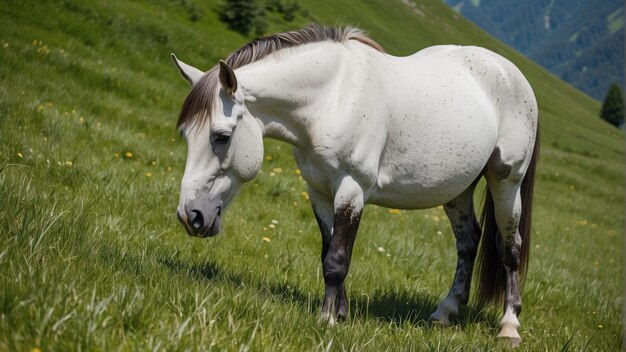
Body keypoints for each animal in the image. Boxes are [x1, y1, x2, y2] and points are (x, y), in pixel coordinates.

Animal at [169, 24, 536, 346]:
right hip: (458, 190)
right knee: (468, 241)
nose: (191, 216)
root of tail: (511, 73)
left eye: (221, 136)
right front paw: (340, 313)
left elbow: (336, 260)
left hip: (507, 182)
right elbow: (328, 250)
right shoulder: (318, 191)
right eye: (185, 134)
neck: (333, 97)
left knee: (510, 247)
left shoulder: (351, 189)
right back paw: (445, 311)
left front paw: (326, 321)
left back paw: (509, 325)